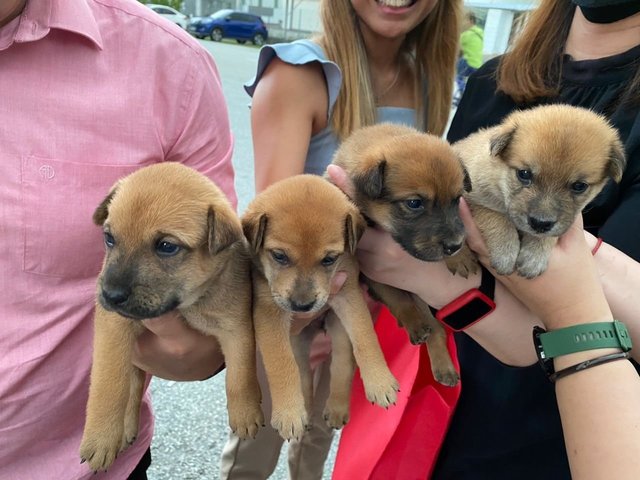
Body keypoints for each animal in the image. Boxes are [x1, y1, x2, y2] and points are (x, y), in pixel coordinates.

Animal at [79, 163, 262, 470]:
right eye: (109, 239)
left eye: (166, 246)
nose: (110, 295)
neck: (188, 305)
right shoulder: (113, 328)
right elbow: (109, 383)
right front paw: (101, 437)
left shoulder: (236, 328)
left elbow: (240, 373)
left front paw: (246, 413)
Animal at [241, 174, 398, 440]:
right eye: (279, 256)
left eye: (329, 259)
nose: (302, 306)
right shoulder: (268, 313)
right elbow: (281, 363)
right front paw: (289, 414)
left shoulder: (349, 296)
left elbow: (366, 338)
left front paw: (380, 381)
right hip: (298, 342)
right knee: (303, 373)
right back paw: (304, 412)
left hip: (338, 329)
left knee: (342, 364)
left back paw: (336, 408)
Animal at [330, 124, 470, 386]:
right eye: (414, 203)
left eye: (457, 199)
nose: (454, 246)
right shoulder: (370, 271)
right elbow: (397, 298)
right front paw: (413, 323)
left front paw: (461, 256)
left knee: (438, 328)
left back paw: (444, 368)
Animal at [456, 104, 624, 278]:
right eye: (524, 174)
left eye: (579, 186)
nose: (540, 224)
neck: (499, 177)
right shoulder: (473, 198)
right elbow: (496, 217)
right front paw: (505, 252)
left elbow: (549, 236)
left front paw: (534, 256)